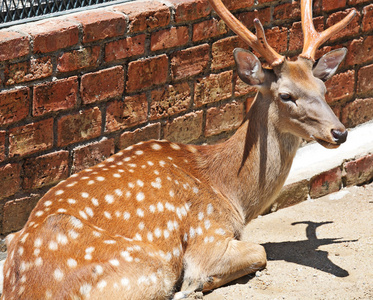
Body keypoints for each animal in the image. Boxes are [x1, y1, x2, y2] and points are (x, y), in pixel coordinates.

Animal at [0, 0, 354, 298]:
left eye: (322, 87)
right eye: (286, 95)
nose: (339, 132)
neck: (231, 194)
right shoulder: (207, 234)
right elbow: (260, 252)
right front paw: (197, 285)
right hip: (148, 268)